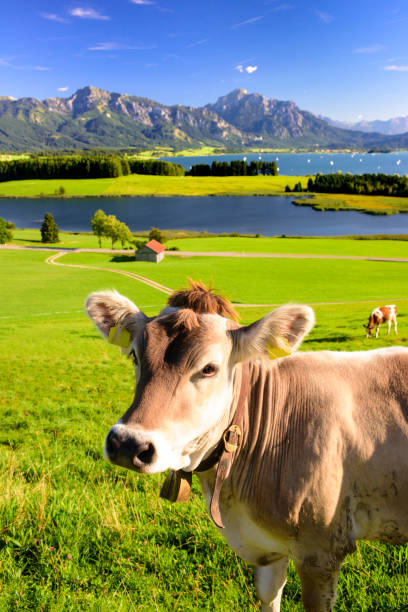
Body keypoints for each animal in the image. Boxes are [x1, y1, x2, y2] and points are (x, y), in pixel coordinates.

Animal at [85, 284, 408, 612]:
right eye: (135, 356)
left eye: (209, 368)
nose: (127, 443)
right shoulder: (268, 548)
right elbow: (269, 595)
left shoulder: (320, 550)